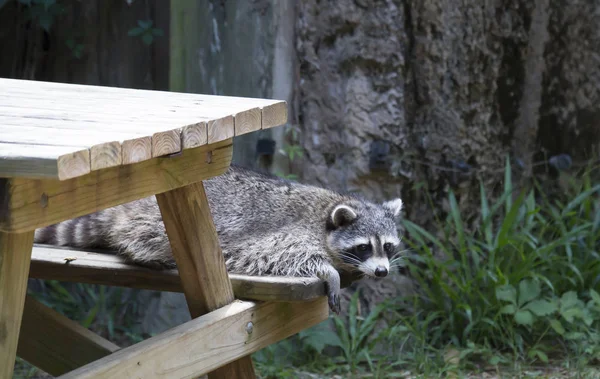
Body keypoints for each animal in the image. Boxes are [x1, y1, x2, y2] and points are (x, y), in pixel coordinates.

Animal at [34, 166, 404, 314]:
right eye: (363, 247)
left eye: (387, 246)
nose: (382, 272)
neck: (327, 211)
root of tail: (128, 206)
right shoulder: (284, 233)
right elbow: (282, 256)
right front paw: (328, 271)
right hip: (152, 222)